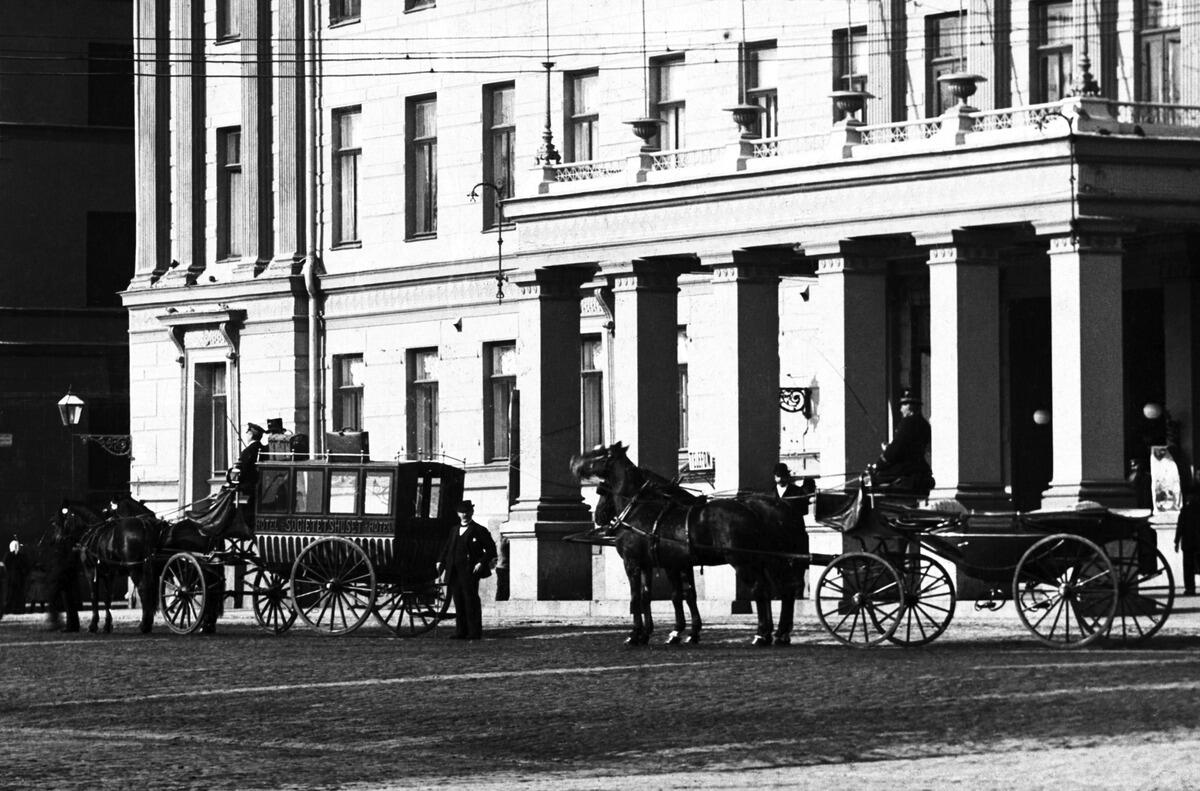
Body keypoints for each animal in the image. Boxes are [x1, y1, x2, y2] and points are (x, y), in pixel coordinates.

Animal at [573, 441, 811, 648]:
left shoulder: (638, 563)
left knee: (762, 590)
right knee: (780, 590)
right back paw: (777, 633)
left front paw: (638, 634)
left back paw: (763, 634)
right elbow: (673, 595)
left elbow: (641, 597)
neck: (640, 509)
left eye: (598, 454)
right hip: (766, 560)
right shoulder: (665, 563)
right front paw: (681, 632)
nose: (599, 515)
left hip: (744, 561)